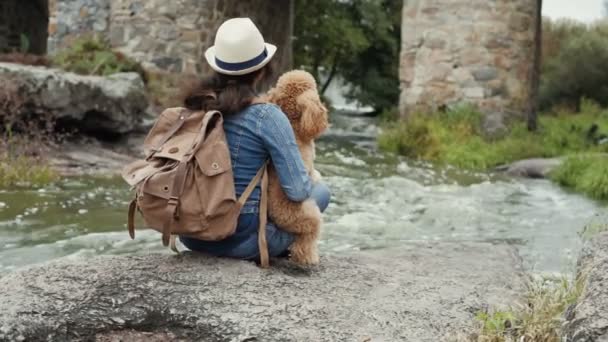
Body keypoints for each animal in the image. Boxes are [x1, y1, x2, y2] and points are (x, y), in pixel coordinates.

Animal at [264, 71, 328, 266]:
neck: (293, 125)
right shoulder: (307, 169)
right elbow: (312, 176)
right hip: (311, 215)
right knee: (305, 240)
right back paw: (309, 258)